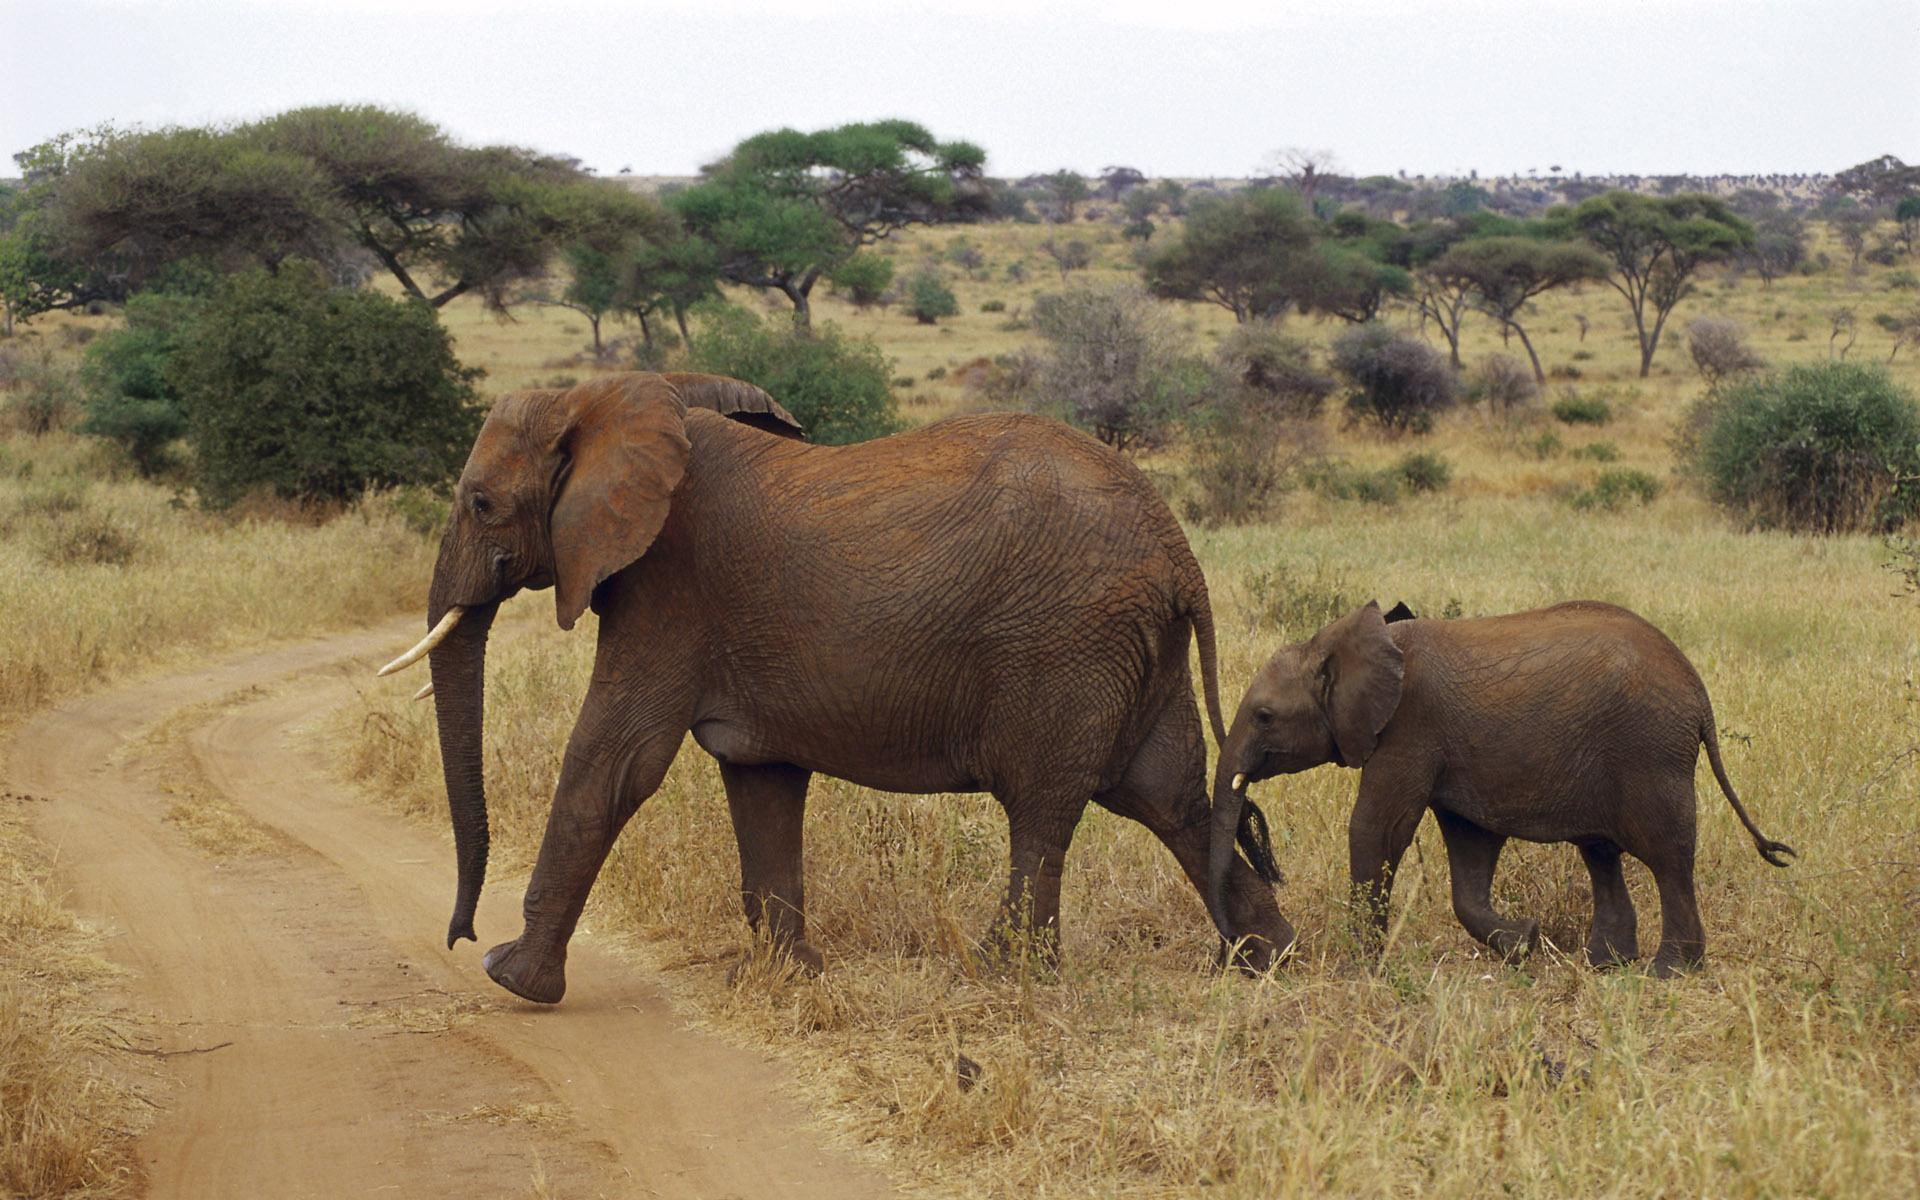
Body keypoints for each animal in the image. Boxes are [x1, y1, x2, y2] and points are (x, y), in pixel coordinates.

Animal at [377, 371, 1294, 1004]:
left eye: (480, 502)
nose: (458, 935)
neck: (609, 394)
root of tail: (1176, 546)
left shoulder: (669, 588)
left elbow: (614, 763)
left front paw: (511, 979)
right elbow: (761, 781)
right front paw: (787, 979)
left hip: (1066, 643)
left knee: (1044, 809)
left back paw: (1002, 978)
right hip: (1134, 648)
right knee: (1169, 797)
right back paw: (1270, 961)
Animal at [1206, 599, 1795, 977]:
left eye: (1263, 716)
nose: (1240, 958)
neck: (1340, 642)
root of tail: (1699, 695)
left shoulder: (1408, 729)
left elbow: (1378, 829)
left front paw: (1359, 971)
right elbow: (1470, 848)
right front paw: (1525, 942)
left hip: (1650, 752)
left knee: (1667, 856)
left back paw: (1669, 973)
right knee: (1601, 852)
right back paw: (1605, 964)